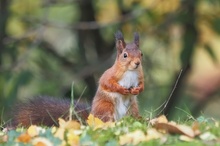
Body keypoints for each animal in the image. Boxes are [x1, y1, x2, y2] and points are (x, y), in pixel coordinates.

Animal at [10, 30, 144, 126]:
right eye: (125, 55)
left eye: (141, 54)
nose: (137, 63)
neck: (130, 71)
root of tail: (91, 117)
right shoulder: (110, 74)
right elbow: (106, 82)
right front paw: (121, 89)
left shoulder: (140, 76)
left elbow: (142, 84)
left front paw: (137, 90)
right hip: (105, 107)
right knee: (105, 120)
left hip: (132, 108)